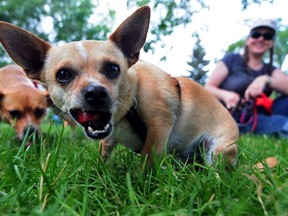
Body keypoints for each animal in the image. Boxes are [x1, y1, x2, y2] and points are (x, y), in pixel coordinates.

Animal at [0, 6, 238, 165]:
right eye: (63, 75)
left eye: (113, 69)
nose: (96, 92)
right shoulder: (108, 138)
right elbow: (104, 150)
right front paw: (99, 172)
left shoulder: (160, 124)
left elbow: (147, 160)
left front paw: (144, 185)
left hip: (218, 151)